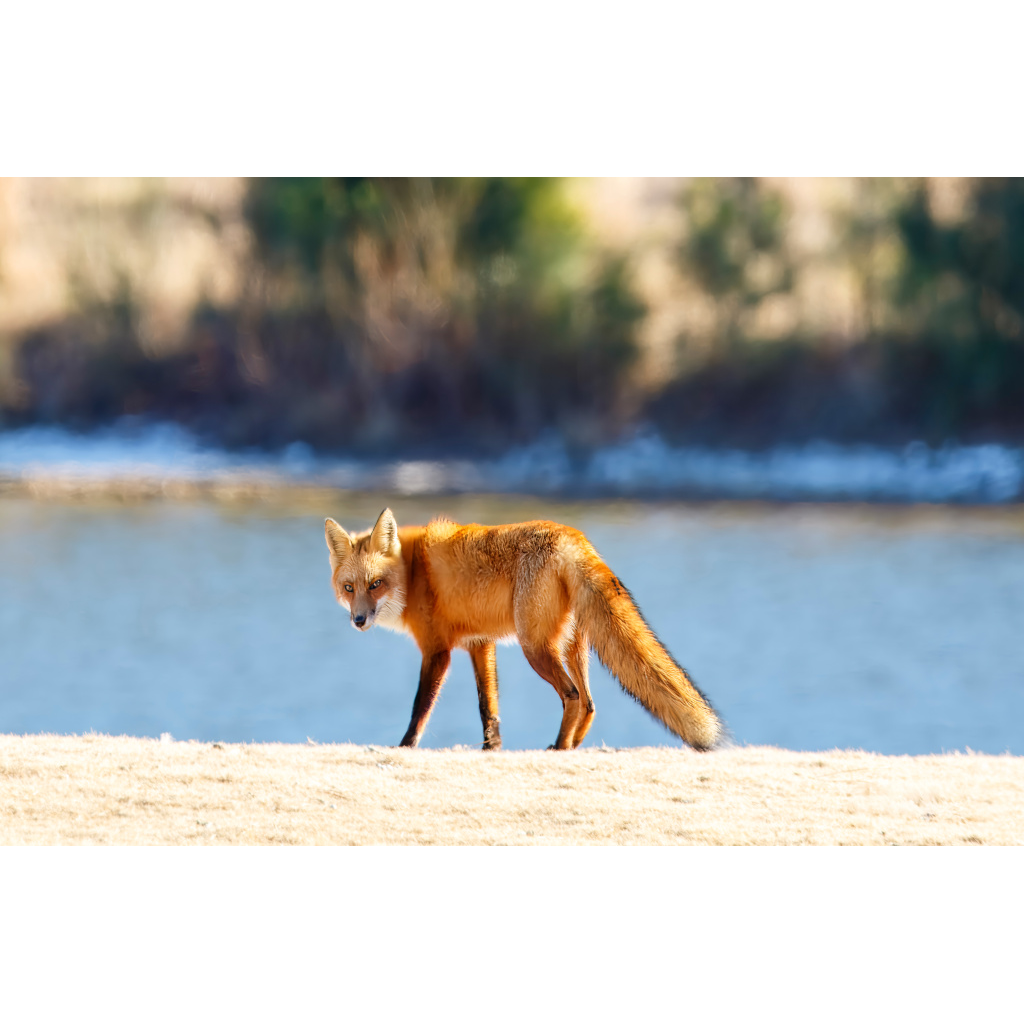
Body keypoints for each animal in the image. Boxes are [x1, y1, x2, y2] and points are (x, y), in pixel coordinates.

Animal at [324, 508, 721, 752]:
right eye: (349, 588)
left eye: (376, 584)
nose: (359, 620)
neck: (413, 573)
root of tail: (573, 536)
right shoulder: (480, 644)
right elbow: (489, 706)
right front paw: (492, 748)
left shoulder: (437, 650)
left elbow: (420, 708)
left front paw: (405, 746)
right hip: (572, 647)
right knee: (590, 702)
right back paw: (573, 746)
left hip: (536, 647)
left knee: (573, 696)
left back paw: (560, 747)